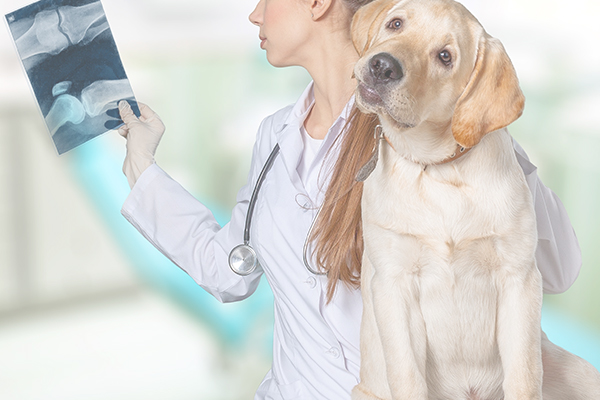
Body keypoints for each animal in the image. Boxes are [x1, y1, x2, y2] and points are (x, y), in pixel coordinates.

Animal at [350, 0, 600, 400]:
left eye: (445, 57)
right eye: (395, 24)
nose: (382, 66)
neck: (437, 169)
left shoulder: (518, 277)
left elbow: (524, 374)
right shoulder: (393, 283)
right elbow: (407, 376)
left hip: (578, 370)